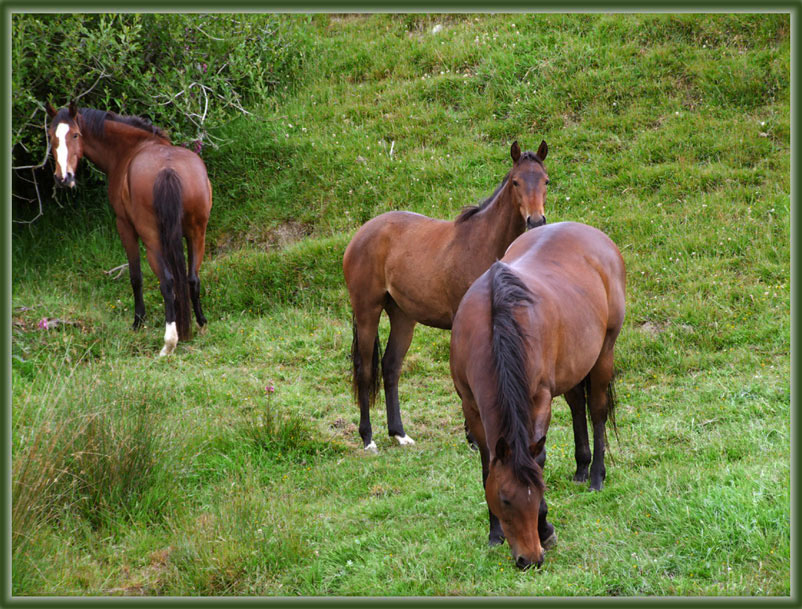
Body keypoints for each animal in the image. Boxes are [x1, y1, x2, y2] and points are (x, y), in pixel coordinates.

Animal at [45, 101, 211, 356]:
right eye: (51, 137)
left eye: (75, 135)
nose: (63, 177)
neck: (130, 149)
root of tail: (168, 170)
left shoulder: (124, 226)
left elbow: (136, 276)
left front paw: (138, 321)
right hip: (197, 233)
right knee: (192, 278)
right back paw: (200, 325)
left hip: (152, 239)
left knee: (167, 281)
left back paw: (169, 342)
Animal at [340, 140, 552, 448]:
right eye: (516, 182)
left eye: (546, 180)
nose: (536, 221)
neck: (483, 244)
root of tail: (361, 234)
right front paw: (473, 436)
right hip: (368, 311)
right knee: (365, 369)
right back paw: (368, 438)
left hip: (402, 317)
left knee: (391, 367)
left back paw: (399, 433)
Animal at [450, 223, 624, 568]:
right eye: (504, 499)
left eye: (539, 492)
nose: (530, 559)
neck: (494, 326)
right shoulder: (471, 405)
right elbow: (487, 465)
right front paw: (494, 533)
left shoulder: (539, 399)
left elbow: (538, 458)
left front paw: (547, 529)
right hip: (572, 367)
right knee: (577, 406)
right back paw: (581, 469)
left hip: (603, 355)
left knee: (597, 412)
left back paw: (596, 476)